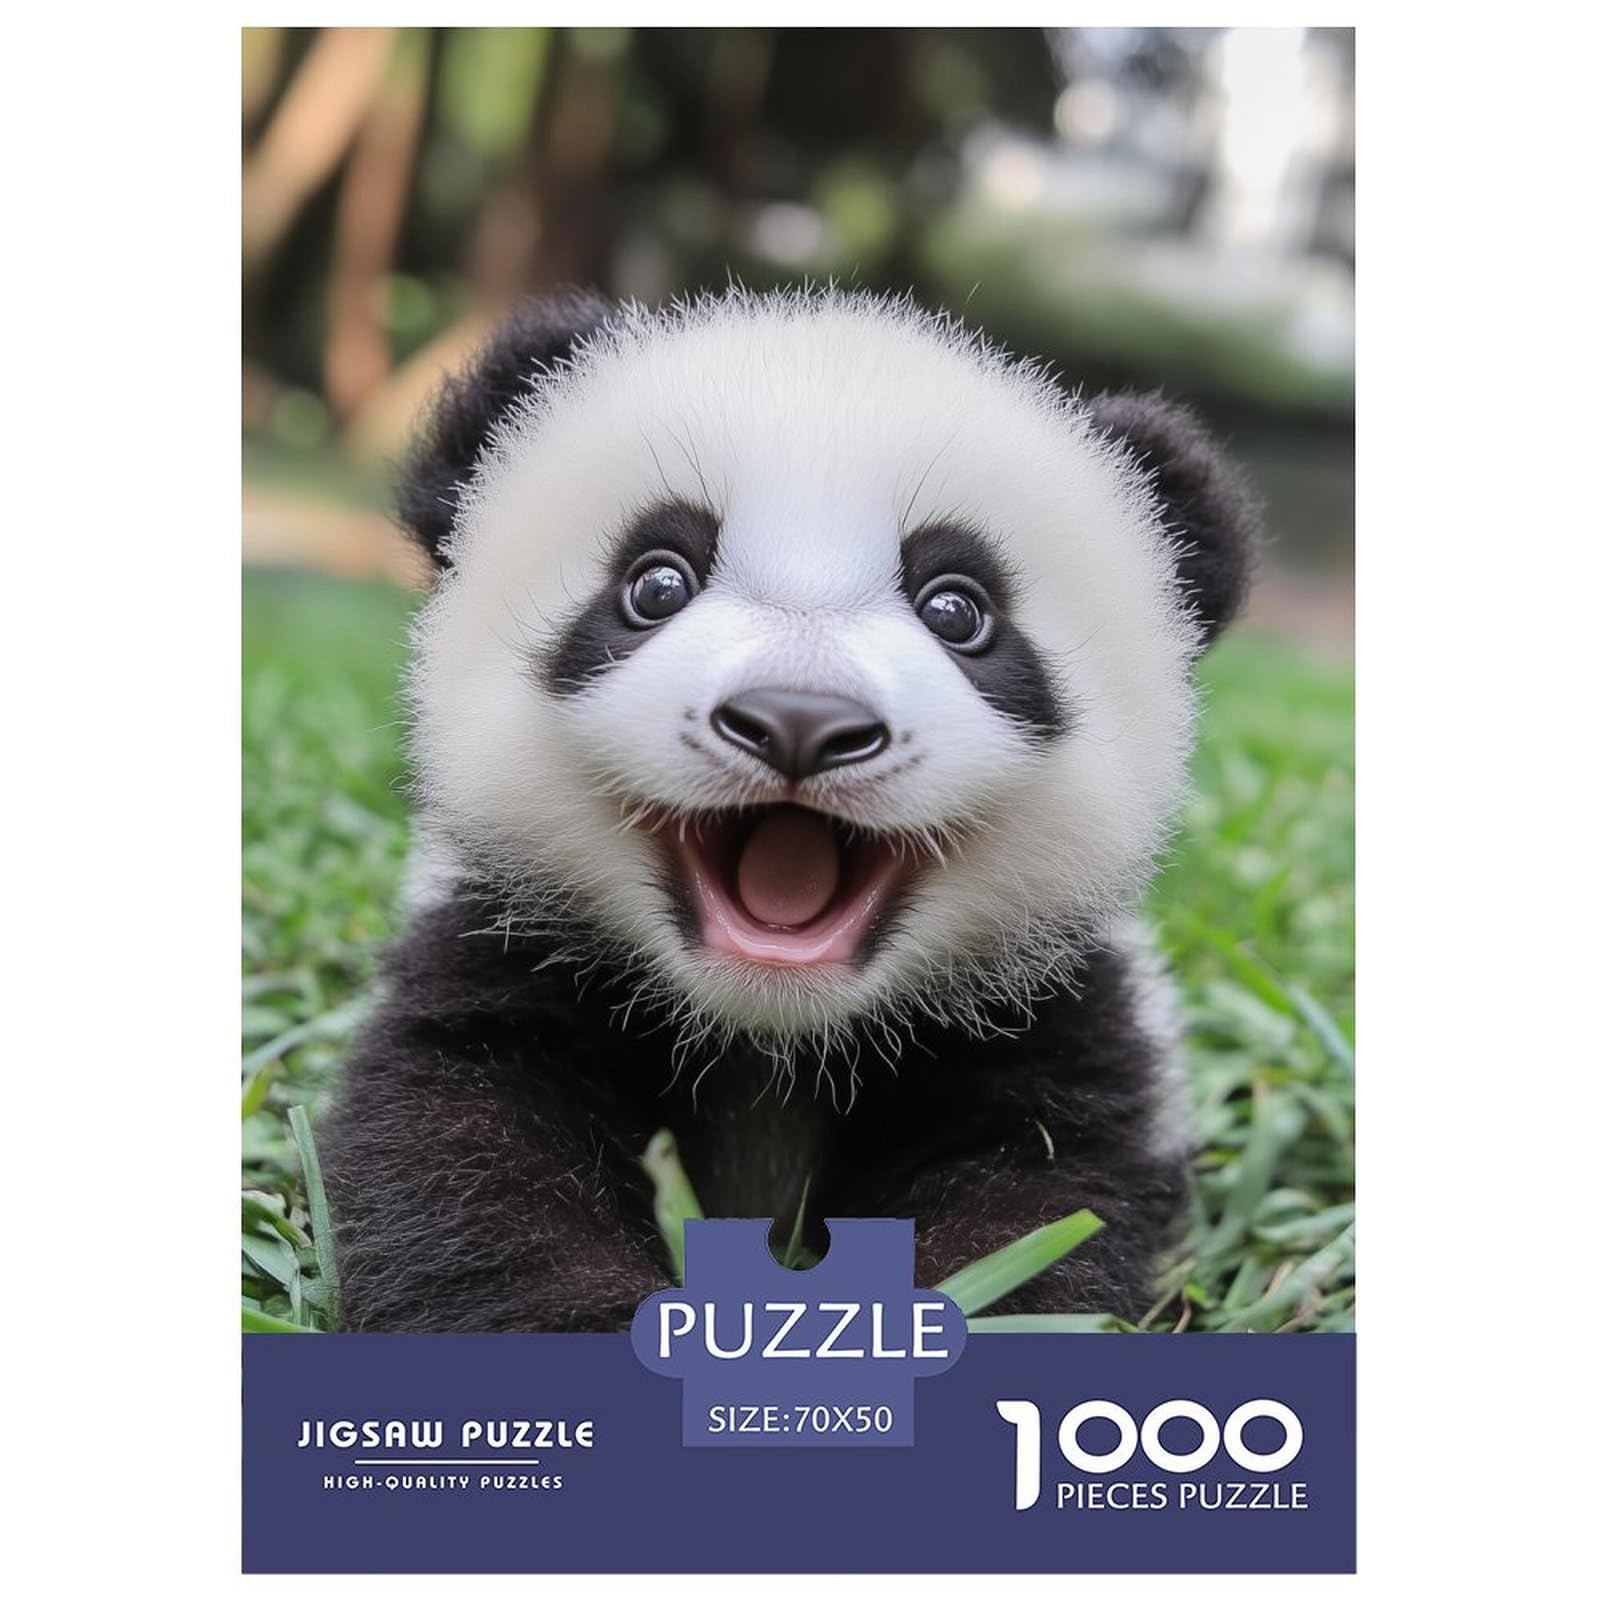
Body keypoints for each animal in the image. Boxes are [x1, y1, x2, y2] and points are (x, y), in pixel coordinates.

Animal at [321, 286, 1259, 1332]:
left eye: (957, 610)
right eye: (656, 583)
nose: (800, 723)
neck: (773, 1040)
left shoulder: (1054, 1019)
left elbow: (1040, 1212)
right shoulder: (501, 954)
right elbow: (472, 1174)